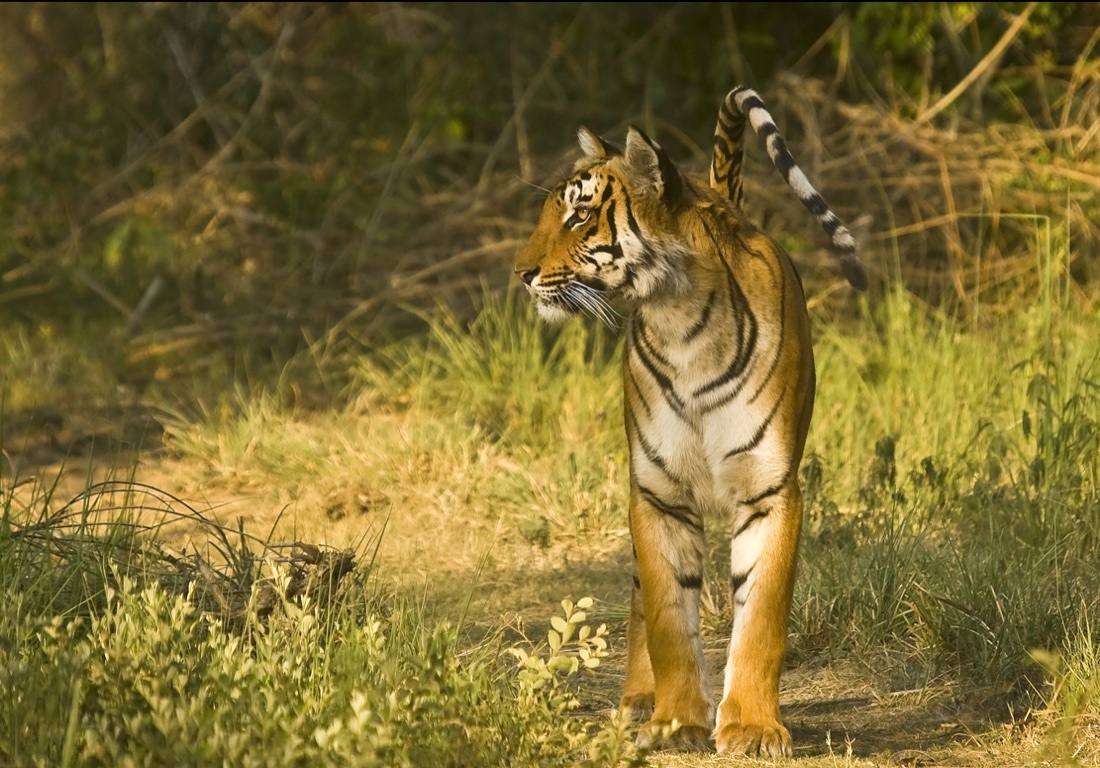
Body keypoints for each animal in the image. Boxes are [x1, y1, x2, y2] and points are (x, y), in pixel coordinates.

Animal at [515, 86, 866, 757]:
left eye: (579, 216)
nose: (520, 274)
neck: (680, 319)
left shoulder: (770, 489)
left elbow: (760, 617)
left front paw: (752, 728)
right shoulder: (657, 492)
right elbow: (667, 618)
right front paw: (675, 723)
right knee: (637, 600)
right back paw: (637, 702)